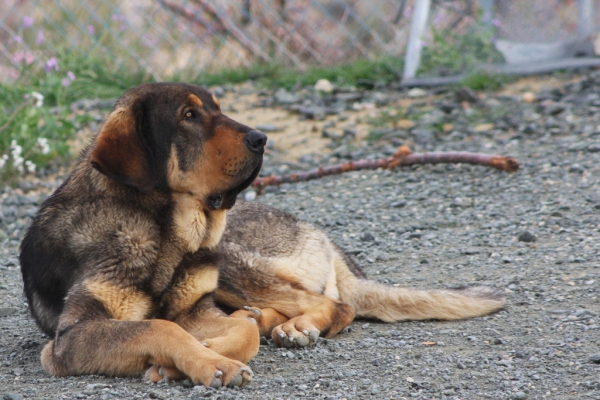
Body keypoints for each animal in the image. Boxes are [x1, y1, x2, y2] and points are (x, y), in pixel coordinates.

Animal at [19, 83, 506, 388]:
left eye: (218, 108)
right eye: (189, 115)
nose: (262, 138)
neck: (166, 230)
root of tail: (320, 234)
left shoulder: (197, 308)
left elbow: (236, 333)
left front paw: (205, 358)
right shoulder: (72, 338)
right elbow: (160, 326)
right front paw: (205, 359)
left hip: (233, 260)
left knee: (335, 304)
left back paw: (294, 326)